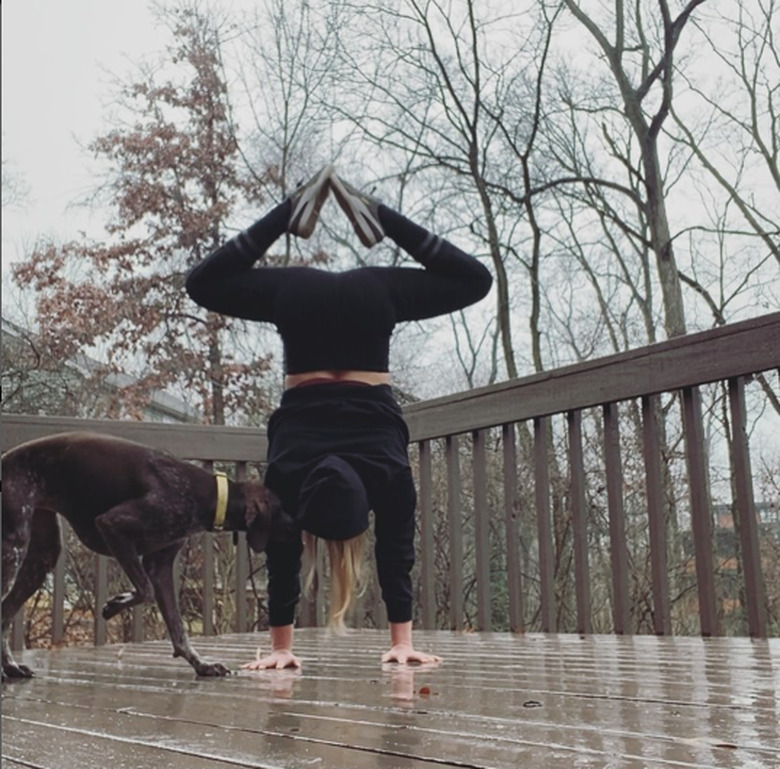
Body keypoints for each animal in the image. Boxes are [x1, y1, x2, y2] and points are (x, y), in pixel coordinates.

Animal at [2, 432, 292, 680]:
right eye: (282, 509)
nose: (299, 528)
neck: (208, 495)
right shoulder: (113, 526)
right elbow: (146, 591)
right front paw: (116, 603)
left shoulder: (159, 565)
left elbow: (178, 628)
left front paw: (201, 664)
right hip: (13, 547)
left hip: (41, 556)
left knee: (5, 613)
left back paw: (11, 667)